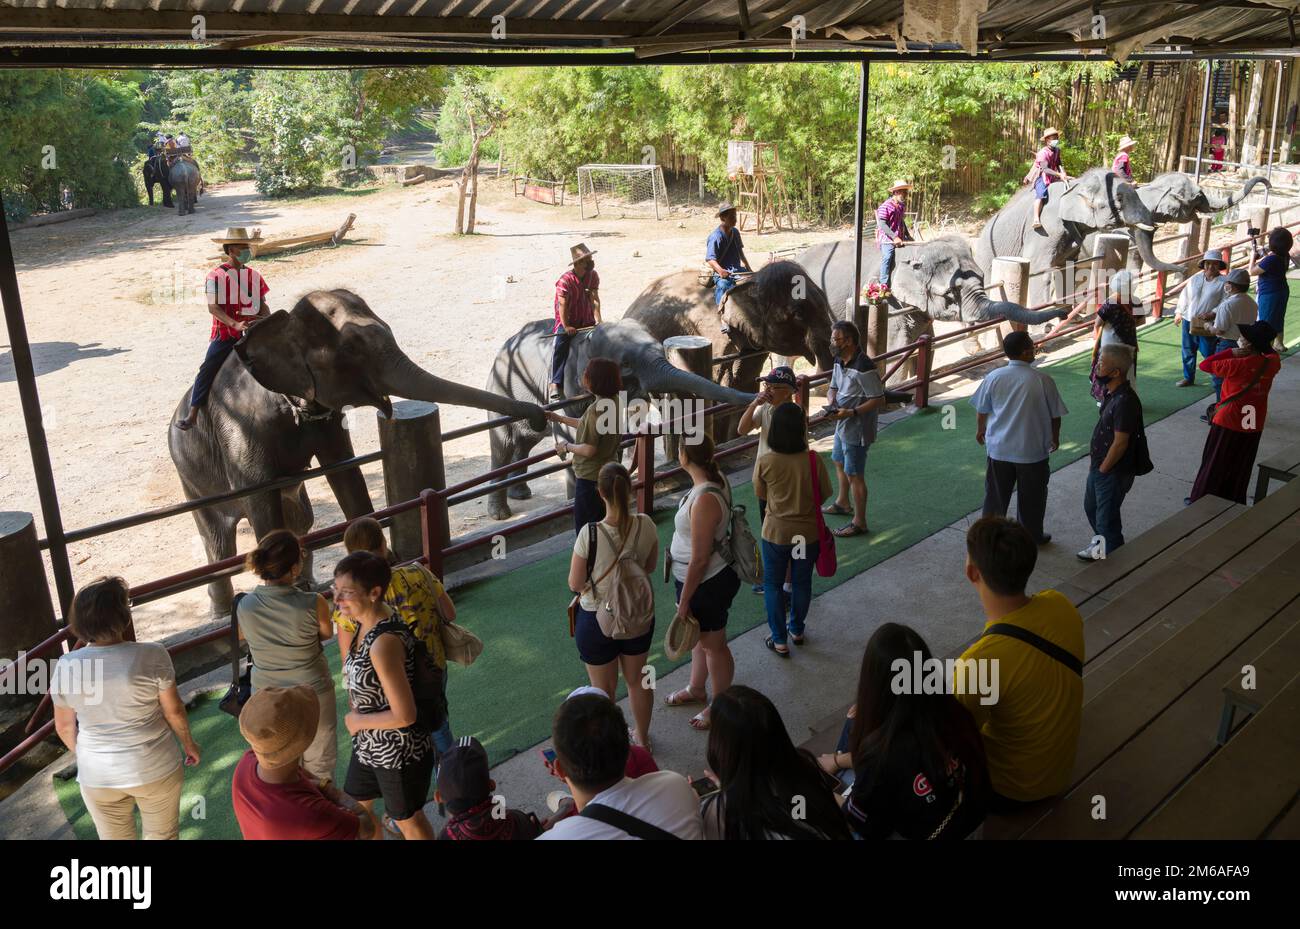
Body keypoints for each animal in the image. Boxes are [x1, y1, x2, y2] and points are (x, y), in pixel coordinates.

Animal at [170, 287, 546, 613]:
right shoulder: (243, 426)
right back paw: (222, 611)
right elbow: (261, 500)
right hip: (189, 476)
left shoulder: (327, 418)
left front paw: (382, 561)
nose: (539, 416)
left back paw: (306, 584)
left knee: (302, 519)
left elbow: (347, 474)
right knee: (218, 544)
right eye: (351, 350)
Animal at [486, 318, 754, 522]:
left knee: (524, 443)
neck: (587, 337)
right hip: (501, 386)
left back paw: (521, 494)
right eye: (625, 363)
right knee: (503, 446)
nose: (758, 396)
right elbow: (573, 436)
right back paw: (500, 514)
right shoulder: (565, 390)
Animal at [795, 236, 1071, 376]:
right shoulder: (891, 303)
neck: (916, 252)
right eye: (951, 293)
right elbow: (896, 350)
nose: (1065, 311)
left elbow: (925, 347)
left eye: (983, 277)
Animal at [977, 167, 1190, 309]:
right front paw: (1046, 328)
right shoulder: (1045, 229)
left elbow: (1066, 267)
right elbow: (1040, 267)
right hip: (988, 257)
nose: (1185, 269)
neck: (1075, 185)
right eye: (1119, 200)